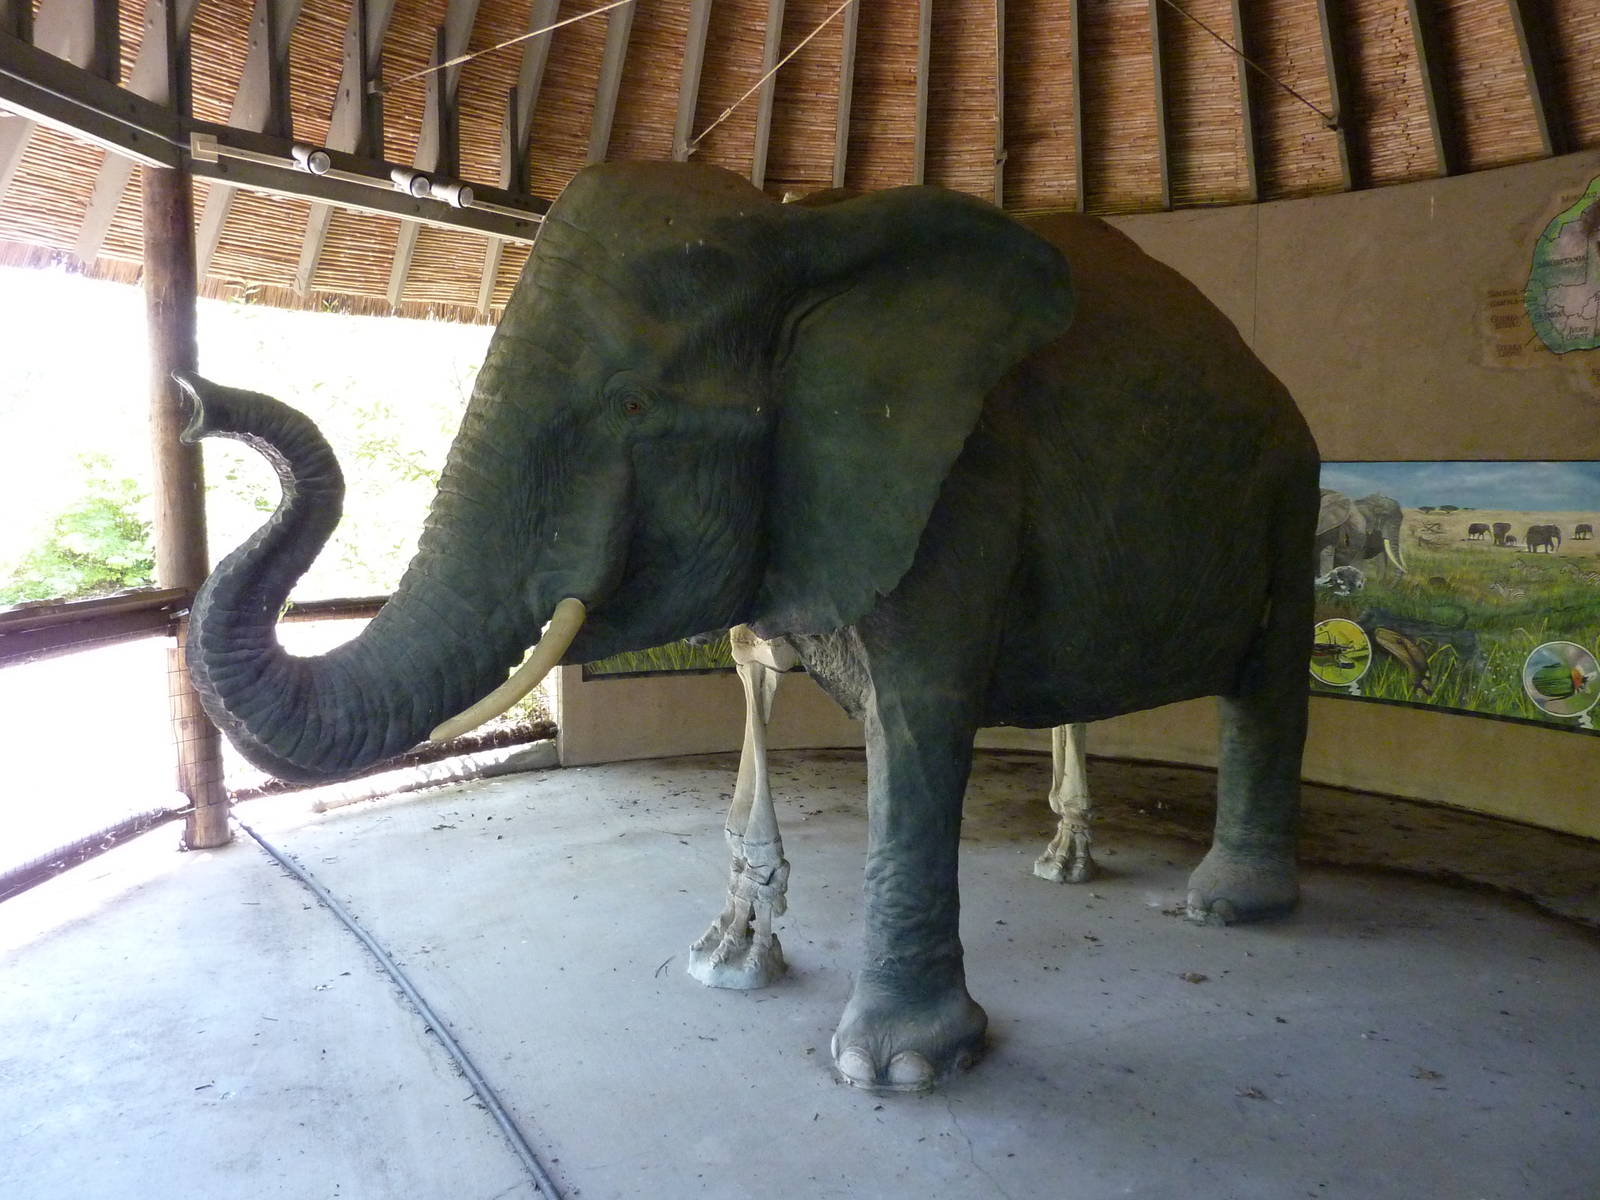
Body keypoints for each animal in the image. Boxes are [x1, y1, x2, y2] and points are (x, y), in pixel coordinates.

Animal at [175, 160, 1320, 1093]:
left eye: (633, 405)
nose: (192, 397)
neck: (802, 234)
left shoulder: (955, 476)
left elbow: (918, 720)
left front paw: (897, 1067)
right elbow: (754, 670)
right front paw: (731, 960)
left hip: (1289, 485)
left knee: (1266, 677)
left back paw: (1227, 904)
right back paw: (1071, 863)